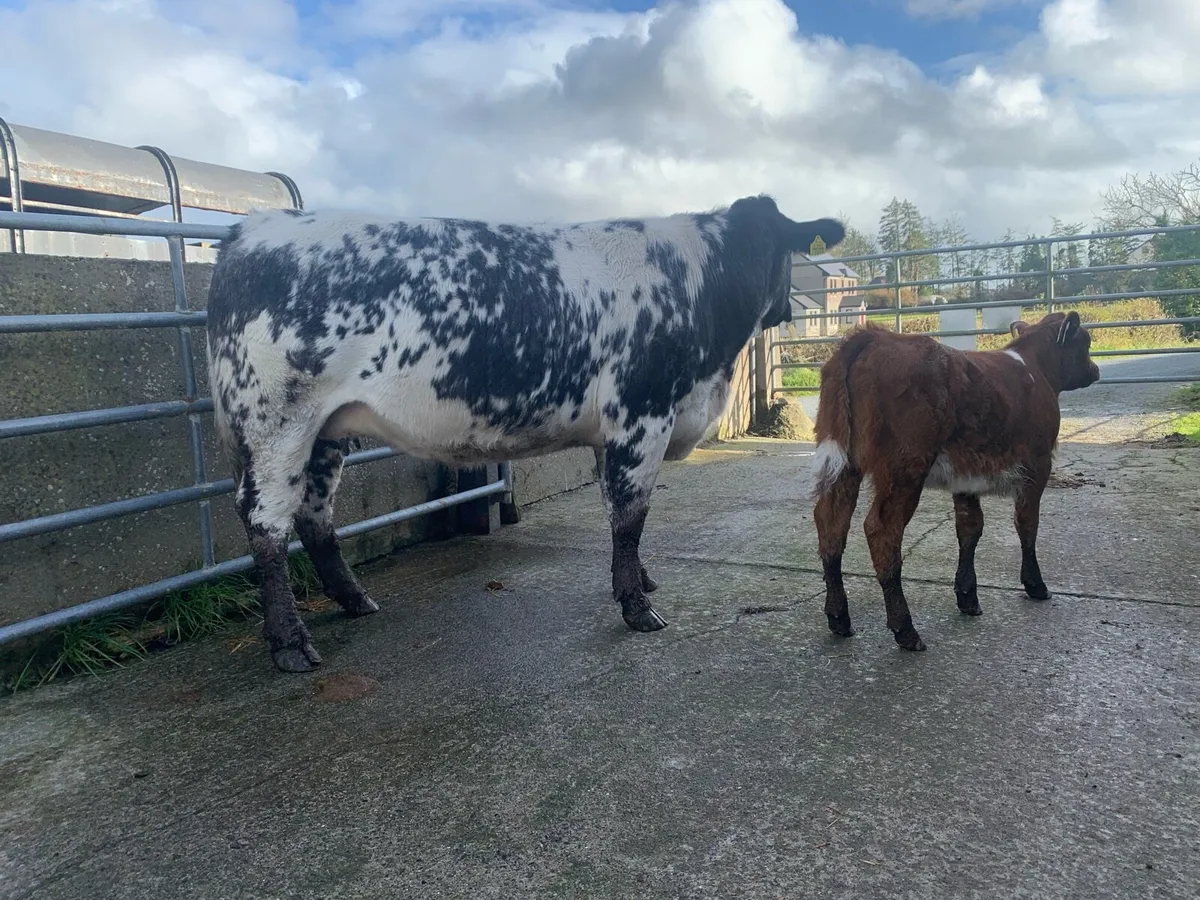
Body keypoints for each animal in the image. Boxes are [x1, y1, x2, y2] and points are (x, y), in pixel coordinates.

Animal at [206, 196, 845, 672]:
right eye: (785, 253)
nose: (789, 311)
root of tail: (251, 230)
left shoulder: (614, 433)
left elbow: (621, 517)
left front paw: (641, 582)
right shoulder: (641, 417)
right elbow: (630, 514)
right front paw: (637, 608)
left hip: (324, 433)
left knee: (315, 517)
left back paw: (355, 600)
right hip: (276, 424)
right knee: (265, 523)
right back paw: (291, 645)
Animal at [810, 310, 1100, 651]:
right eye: (1085, 342)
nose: (1095, 370)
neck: (1034, 368)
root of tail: (876, 336)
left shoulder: (966, 477)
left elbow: (970, 529)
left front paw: (967, 597)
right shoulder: (1037, 466)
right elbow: (1027, 524)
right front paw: (1036, 585)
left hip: (844, 463)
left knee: (831, 521)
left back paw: (839, 618)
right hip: (904, 467)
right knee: (882, 529)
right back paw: (905, 629)